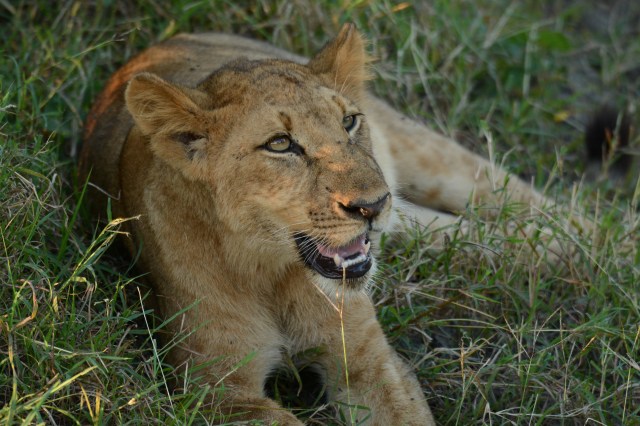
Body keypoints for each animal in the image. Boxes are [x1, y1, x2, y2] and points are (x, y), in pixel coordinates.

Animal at [80, 24, 559, 425]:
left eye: (349, 121)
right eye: (280, 144)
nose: (373, 205)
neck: (273, 272)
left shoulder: (369, 362)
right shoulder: (216, 390)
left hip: (423, 155)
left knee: (513, 192)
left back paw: (576, 241)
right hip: (412, 223)